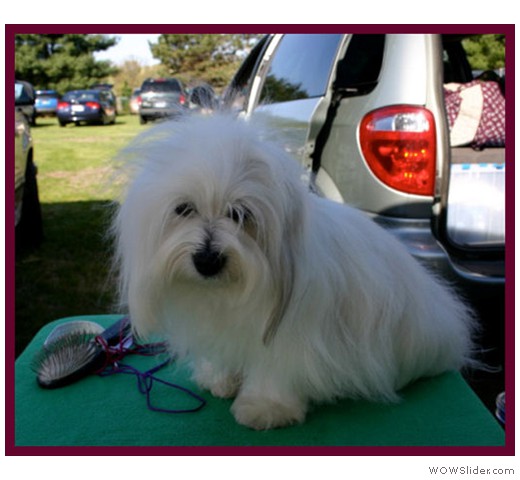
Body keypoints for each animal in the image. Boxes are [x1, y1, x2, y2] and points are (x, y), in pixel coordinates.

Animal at [111, 113, 478, 432]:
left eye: (240, 214)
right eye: (184, 209)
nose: (207, 259)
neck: (228, 293)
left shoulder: (293, 333)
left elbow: (277, 368)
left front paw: (265, 408)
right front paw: (219, 378)